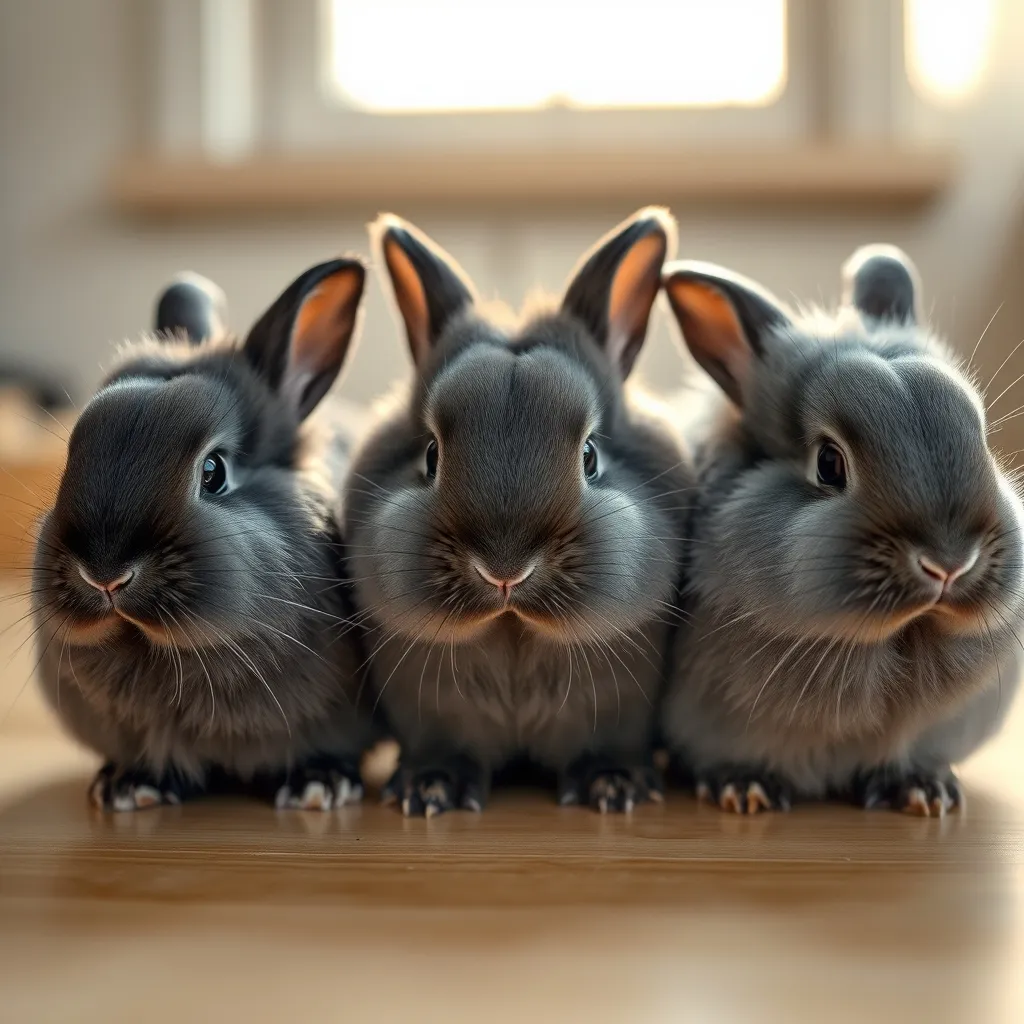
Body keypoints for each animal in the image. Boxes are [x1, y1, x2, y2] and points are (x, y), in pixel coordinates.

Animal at [343, 208, 693, 816]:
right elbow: (444, 748)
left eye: (591, 456)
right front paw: (429, 790)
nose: (504, 571)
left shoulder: (619, 708)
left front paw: (614, 787)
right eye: (430, 456)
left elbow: (606, 746)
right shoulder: (431, 712)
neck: (513, 630)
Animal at [659, 245, 1024, 816]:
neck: (897, 638)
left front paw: (925, 792)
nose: (949, 563)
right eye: (829, 464)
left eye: (982, 436)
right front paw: (746, 789)